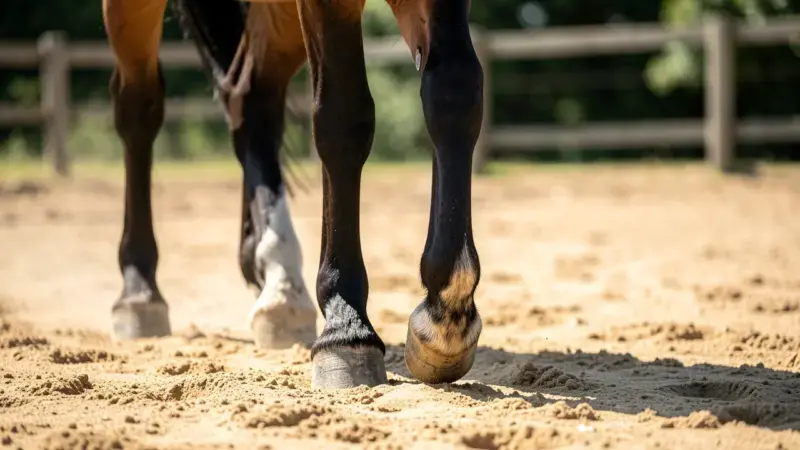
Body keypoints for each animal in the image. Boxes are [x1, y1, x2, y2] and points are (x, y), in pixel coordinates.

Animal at [102, 0, 484, 389]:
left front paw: (447, 317)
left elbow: (454, 91)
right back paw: (139, 291)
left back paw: (280, 284)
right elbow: (344, 118)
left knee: (250, 97)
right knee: (139, 106)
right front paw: (345, 326)